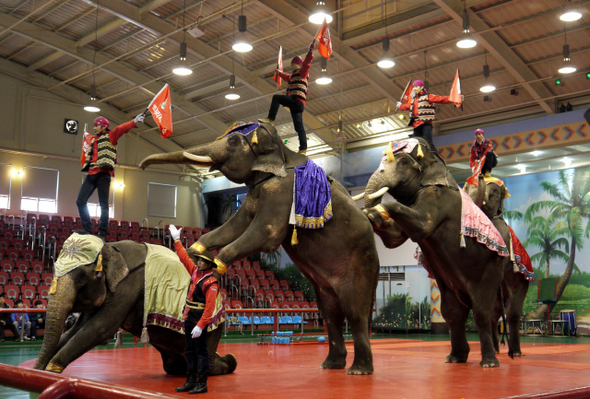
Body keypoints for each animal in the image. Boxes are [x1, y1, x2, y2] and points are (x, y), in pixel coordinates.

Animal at [33, 238, 237, 378]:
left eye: (84, 277)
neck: (111, 248)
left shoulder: (130, 286)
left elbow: (99, 328)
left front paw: (49, 372)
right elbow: (76, 329)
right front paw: (38, 371)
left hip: (210, 327)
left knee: (207, 364)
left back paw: (230, 360)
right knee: (174, 366)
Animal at [139, 122, 382, 376]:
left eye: (233, 142)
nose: (142, 166)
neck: (283, 151)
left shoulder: (280, 190)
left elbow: (266, 233)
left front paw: (213, 272)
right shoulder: (256, 191)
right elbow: (234, 226)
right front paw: (190, 252)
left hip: (360, 264)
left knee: (354, 311)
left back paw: (358, 371)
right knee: (330, 313)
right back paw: (330, 366)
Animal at [364, 138, 512, 368]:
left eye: (403, 162)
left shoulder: (438, 196)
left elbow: (423, 224)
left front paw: (379, 210)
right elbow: (394, 240)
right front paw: (372, 215)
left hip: (492, 269)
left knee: (482, 312)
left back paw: (488, 363)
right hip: (452, 288)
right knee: (452, 313)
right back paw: (455, 358)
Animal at [468, 174, 536, 356]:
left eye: (494, 190)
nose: (480, 174)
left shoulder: (502, 236)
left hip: (522, 281)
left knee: (512, 312)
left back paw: (515, 352)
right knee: (494, 312)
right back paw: (497, 349)